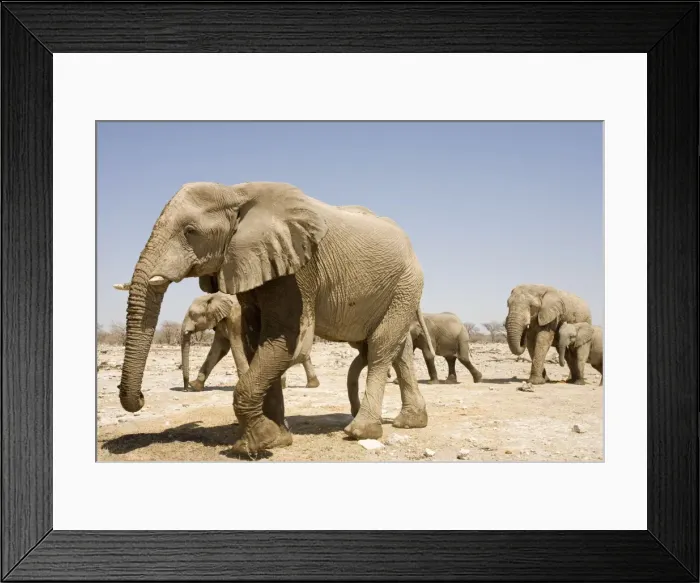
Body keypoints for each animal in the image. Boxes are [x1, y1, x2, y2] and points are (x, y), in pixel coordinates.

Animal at [113, 284, 321, 391]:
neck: (214, 297)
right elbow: (218, 349)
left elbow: (235, 346)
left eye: (193, 314)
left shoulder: (236, 318)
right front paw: (197, 386)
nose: (185, 387)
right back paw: (310, 385)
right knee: (303, 356)